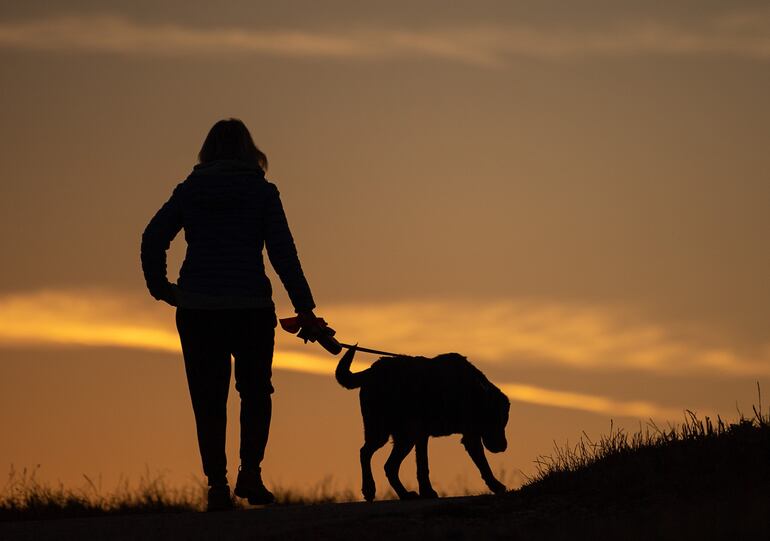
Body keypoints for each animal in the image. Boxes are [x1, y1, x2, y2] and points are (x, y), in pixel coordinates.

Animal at [336, 346, 510, 502]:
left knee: (386, 465)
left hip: (401, 436)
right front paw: (496, 486)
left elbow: (422, 466)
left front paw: (426, 491)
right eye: (496, 420)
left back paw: (403, 494)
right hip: (390, 433)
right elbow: (484, 465)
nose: (503, 447)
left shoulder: (422, 436)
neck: (474, 389)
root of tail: (372, 371)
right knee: (369, 455)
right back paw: (372, 489)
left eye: (504, 422)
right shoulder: (470, 437)